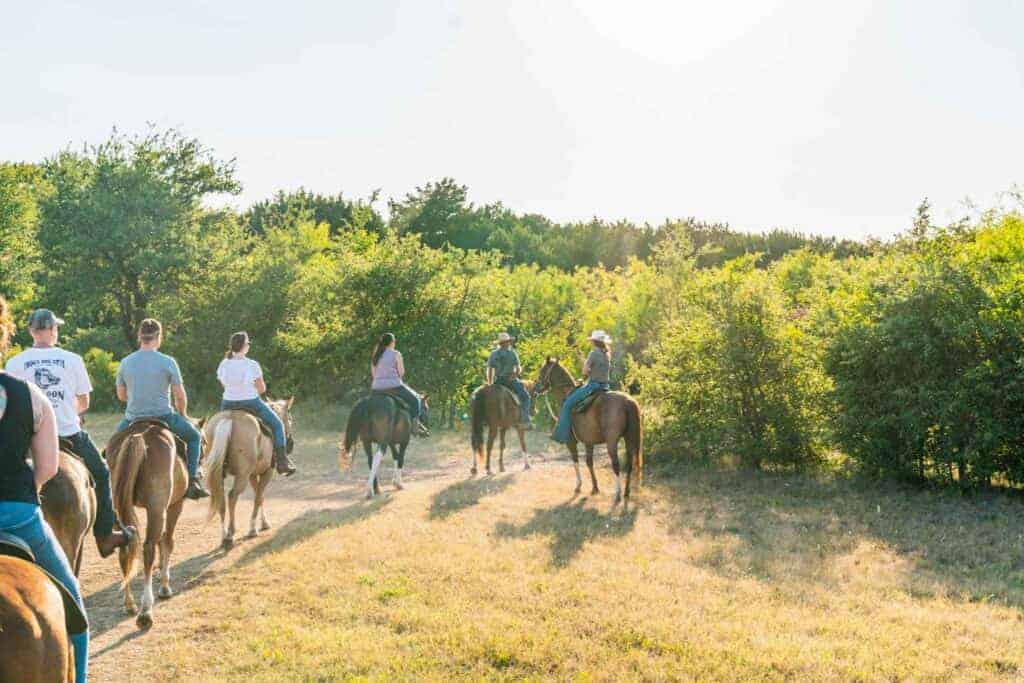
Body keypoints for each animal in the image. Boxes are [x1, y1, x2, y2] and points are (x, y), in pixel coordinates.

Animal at [107, 421, 189, 630]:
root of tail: (138, 436)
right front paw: (165, 585)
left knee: (125, 550)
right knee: (149, 547)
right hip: (157, 508)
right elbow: (167, 541)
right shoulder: (175, 505)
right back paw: (145, 611)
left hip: (118, 509)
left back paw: (130, 604)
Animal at [200, 401, 294, 548]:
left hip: (219, 473)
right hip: (242, 476)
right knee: (232, 496)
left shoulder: (252, 475)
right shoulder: (267, 472)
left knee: (221, 498)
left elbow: (260, 497)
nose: (291, 444)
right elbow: (258, 497)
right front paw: (252, 529)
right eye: (290, 419)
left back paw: (224, 535)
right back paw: (230, 534)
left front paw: (264, 523)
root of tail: (229, 418)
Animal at [532, 358, 643, 501]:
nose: (535, 388)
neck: (566, 395)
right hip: (629, 438)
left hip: (612, 441)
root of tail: (628, 402)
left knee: (616, 464)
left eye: (542, 371)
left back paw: (618, 493)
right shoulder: (588, 442)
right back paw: (626, 492)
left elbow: (575, 460)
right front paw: (595, 488)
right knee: (629, 464)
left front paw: (578, 486)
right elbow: (589, 462)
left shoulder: (571, 442)